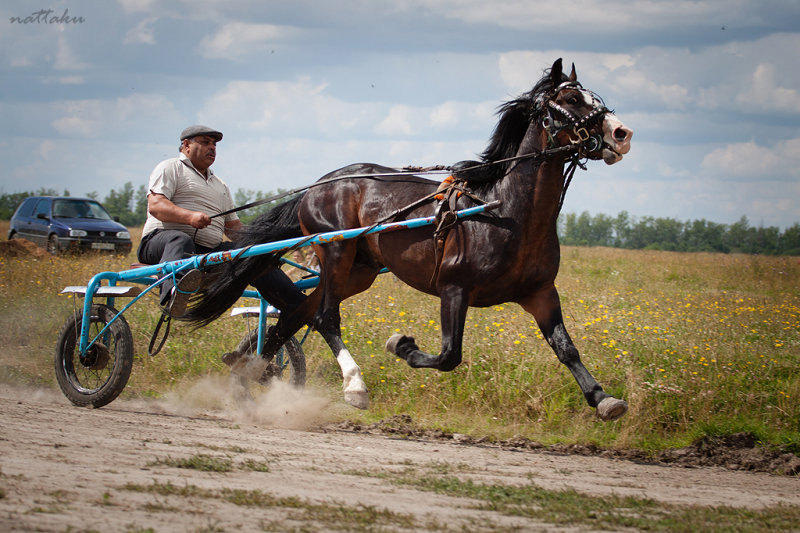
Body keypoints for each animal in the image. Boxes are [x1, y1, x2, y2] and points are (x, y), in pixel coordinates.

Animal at [186, 56, 632, 418]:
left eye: (595, 96)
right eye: (571, 98)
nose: (622, 133)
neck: (502, 211)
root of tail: (320, 184)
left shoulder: (539, 292)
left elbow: (566, 347)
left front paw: (603, 399)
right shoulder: (454, 288)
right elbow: (450, 355)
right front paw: (401, 344)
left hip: (359, 270)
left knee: (297, 315)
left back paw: (250, 372)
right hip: (336, 250)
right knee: (326, 317)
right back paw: (354, 386)